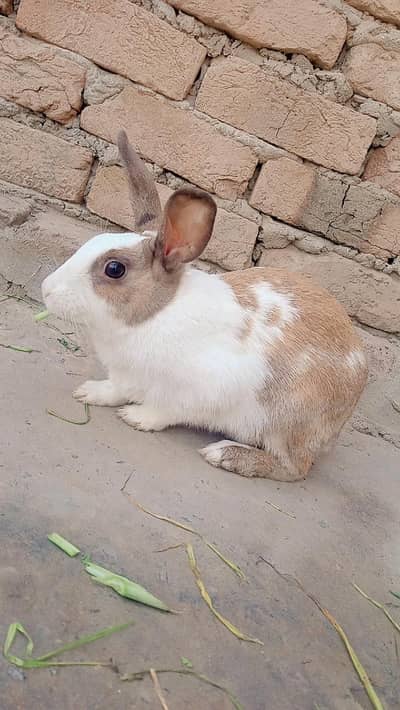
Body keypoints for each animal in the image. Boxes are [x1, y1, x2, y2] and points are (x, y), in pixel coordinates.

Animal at [41, 130, 368, 482]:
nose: (46, 290)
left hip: (288, 421)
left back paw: (225, 455)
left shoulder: (203, 389)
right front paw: (89, 393)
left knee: (294, 468)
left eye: (114, 269)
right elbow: (116, 388)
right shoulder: (126, 376)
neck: (154, 315)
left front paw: (136, 417)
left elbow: (167, 410)